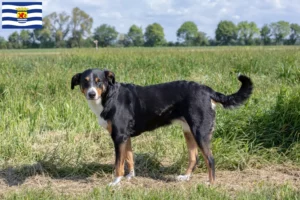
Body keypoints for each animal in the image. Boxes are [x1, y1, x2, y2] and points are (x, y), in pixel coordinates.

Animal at [71, 69, 253, 186]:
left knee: (210, 159)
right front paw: (130, 177)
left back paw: (211, 184)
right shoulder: (125, 137)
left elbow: (118, 164)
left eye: (99, 82)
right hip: (188, 131)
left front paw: (115, 182)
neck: (110, 97)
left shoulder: (119, 136)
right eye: (84, 82)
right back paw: (185, 178)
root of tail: (207, 90)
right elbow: (129, 158)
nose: (91, 94)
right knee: (194, 158)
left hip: (200, 133)